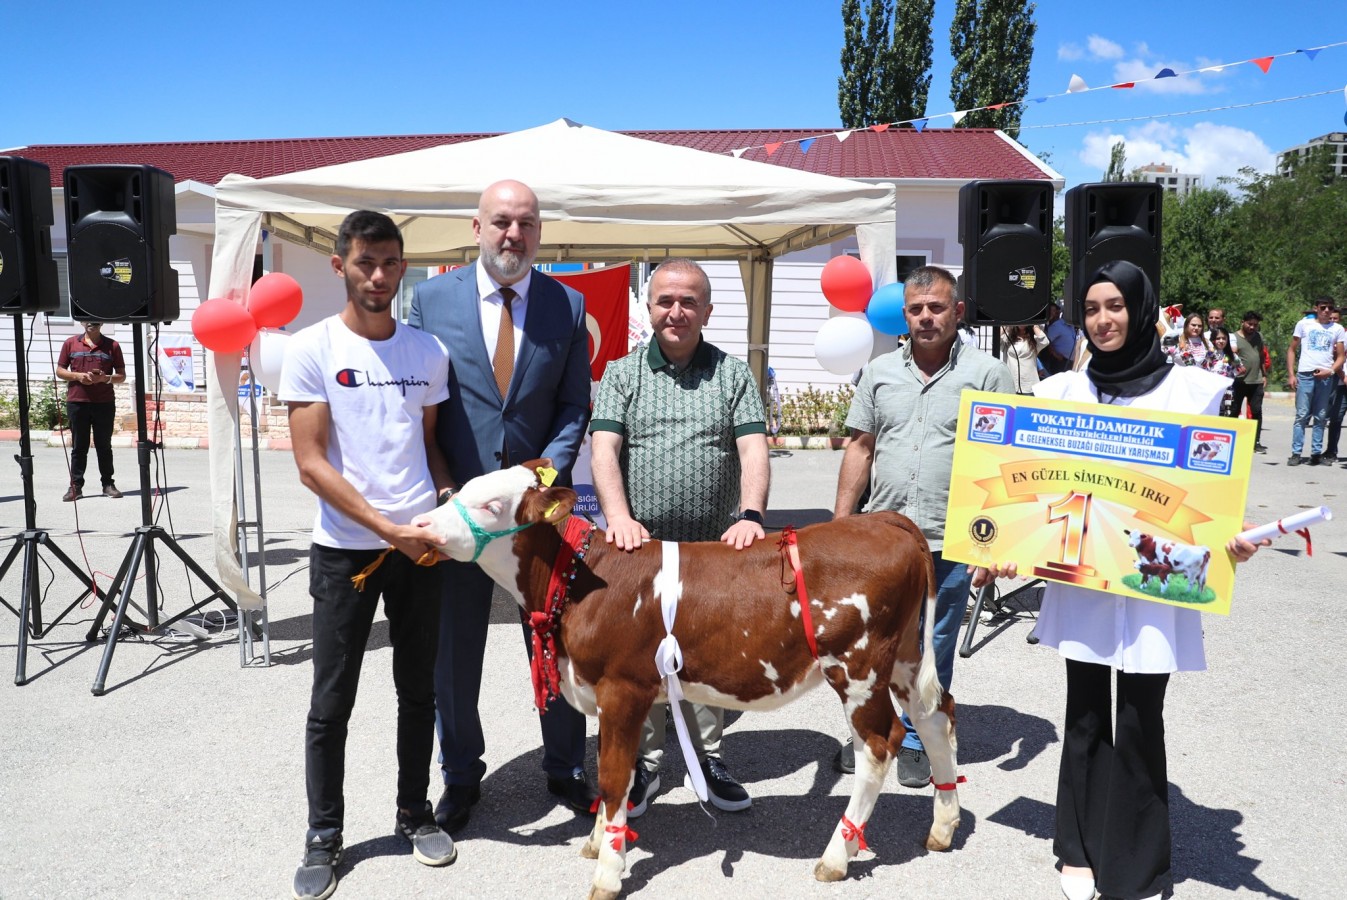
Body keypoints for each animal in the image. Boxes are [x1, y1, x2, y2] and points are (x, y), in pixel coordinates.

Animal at [417, 463, 959, 900]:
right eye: (459, 489)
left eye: (490, 505)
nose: (423, 525)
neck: (580, 578)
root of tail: (881, 520)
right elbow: (611, 772)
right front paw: (596, 842)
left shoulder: (623, 688)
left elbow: (613, 777)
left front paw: (608, 872)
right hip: (905, 657)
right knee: (936, 717)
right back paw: (944, 826)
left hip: (859, 667)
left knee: (879, 744)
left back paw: (835, 857)